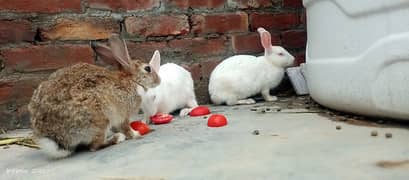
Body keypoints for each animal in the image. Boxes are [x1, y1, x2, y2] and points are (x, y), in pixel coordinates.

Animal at [27, 34, 159, 158]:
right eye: (148, 68)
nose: (159, 80)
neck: (132, 80)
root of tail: (56, 139)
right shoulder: (123, 114)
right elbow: (126, 128)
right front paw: (136, 134)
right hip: (100, 120)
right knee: (95, 146)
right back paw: (117, 138)